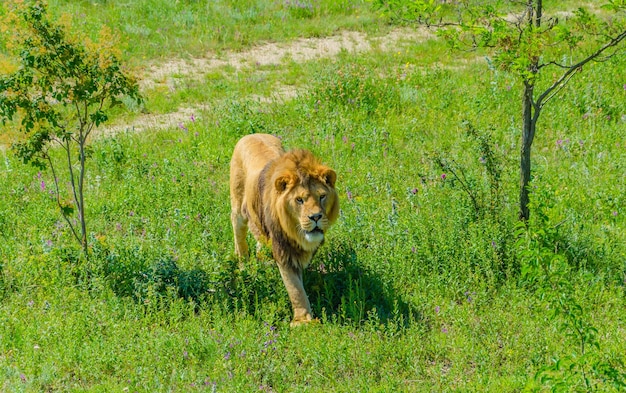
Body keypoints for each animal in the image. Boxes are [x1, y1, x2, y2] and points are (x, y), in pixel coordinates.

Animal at [228, 133, 338, 326]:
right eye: (299, 200)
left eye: (322, 196)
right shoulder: (283, 250)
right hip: (238, 207)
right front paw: (303, 321)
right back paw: (243, 266)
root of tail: (250, 134)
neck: (296, 233)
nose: (316, 217)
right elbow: (295, 287)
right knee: (239, 235)